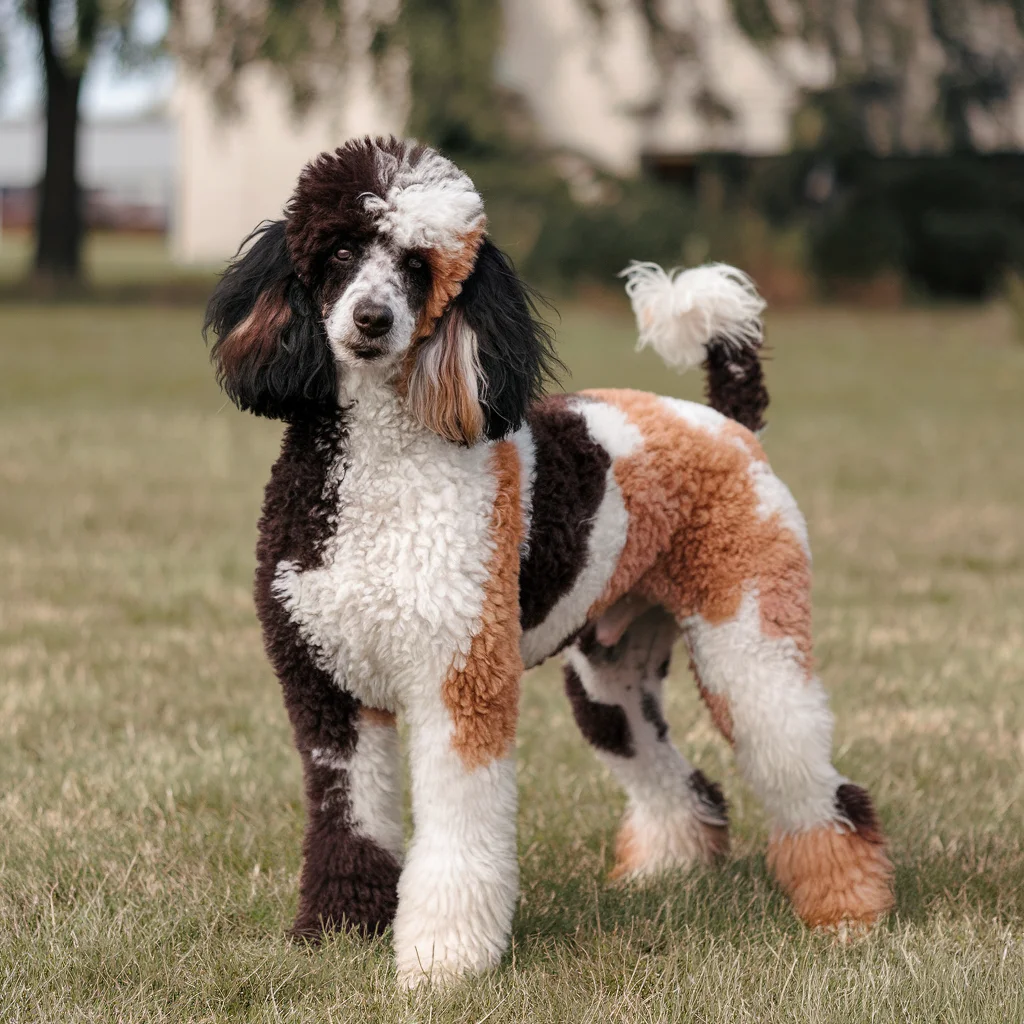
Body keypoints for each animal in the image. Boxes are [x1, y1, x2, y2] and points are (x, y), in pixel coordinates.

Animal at [203, 134, 892, 983]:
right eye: (337, 250)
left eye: (418, 264)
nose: (371, 318)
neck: (379, 473)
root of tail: (730, 424)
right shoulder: (329, 690)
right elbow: (350, 824)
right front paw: (338, 931)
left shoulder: (460, 681)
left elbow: (458, 835)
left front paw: (443, 959)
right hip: (610, 682)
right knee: (683, 782)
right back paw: (668, 871)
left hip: (752, 644)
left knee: (818, 785)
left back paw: (849, 914)